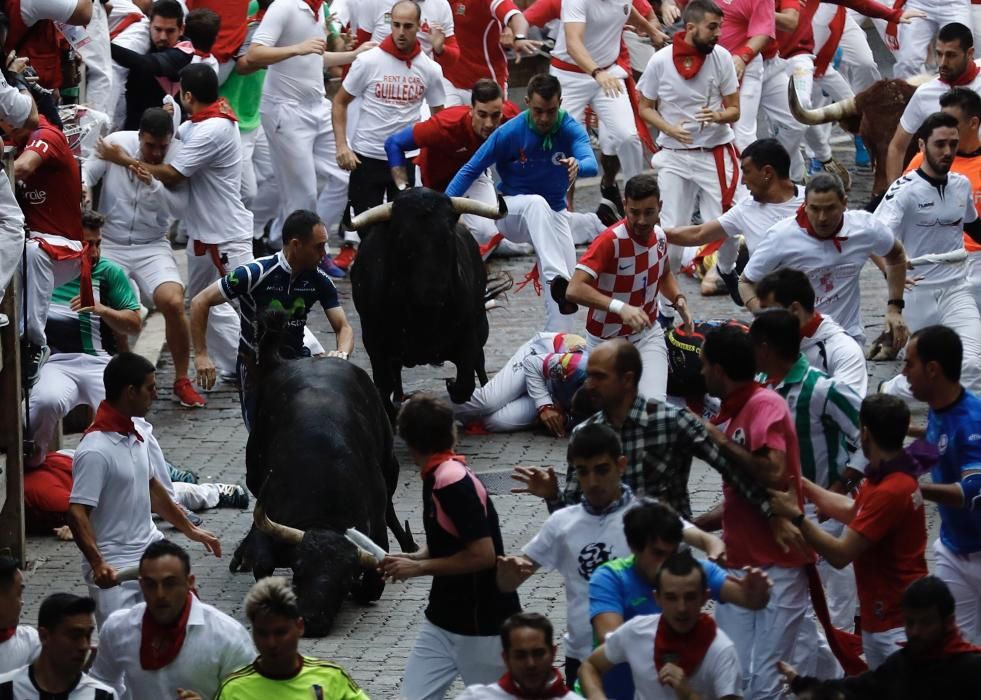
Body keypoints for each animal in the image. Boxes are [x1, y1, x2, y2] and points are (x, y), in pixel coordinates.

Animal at [232, 314, 416, 636]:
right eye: (299, 567)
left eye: (346, 579)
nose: (312, 620)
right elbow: (262, 562)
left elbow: (371, 586)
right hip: (253, 471)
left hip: (390, 465)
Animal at [348, 186, 510, 418]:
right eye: (403, 240)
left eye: (447, 237)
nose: (433, 295)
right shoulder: (373, 340)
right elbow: (383, 386)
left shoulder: (469, 334)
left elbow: (465, 383)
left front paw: (451, 384)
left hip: (481, 325)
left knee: (479, 363)